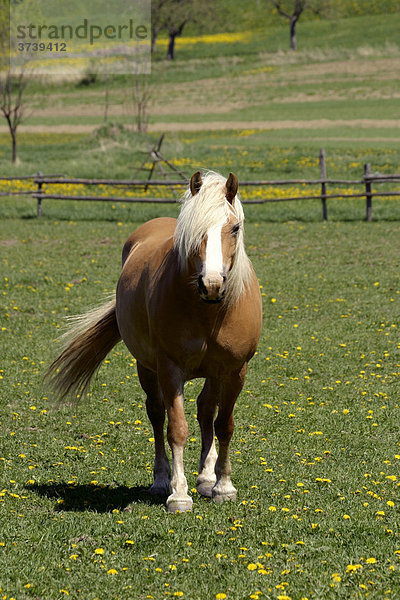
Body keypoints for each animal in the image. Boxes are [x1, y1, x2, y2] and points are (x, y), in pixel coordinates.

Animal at [46, 170, 262, 510]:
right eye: (191, 232)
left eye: (235, 228)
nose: (212, 284)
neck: (209, 312)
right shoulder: (169, 369)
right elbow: (176, 429)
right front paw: (179, 493)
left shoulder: (235, 370)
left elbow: (224, 425)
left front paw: (223, 486)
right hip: (146, 368)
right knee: (157, 413)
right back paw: (162, 480)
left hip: (213, 373)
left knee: (206, 410)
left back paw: (206, 477)